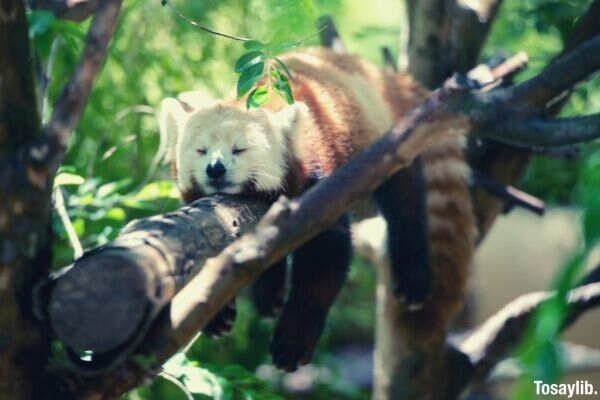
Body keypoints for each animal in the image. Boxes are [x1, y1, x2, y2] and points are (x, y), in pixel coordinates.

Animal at [157, 47, 476, 372]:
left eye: (239, 149)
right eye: (201, 151)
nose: (216, 169)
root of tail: (381, 75)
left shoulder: (319, 184)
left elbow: (324, 258)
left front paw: (293, 341)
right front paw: (216, 314)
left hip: (389, 141)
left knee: (406, 205)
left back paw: (413, 275)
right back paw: (268, 293)